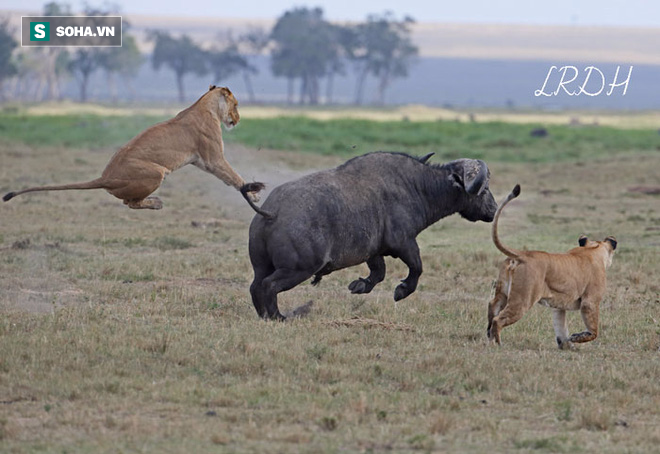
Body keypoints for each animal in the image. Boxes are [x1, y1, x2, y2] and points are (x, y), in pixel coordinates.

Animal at [245, 152, 498, 320]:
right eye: (484, 188)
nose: (494, 209)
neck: (417, 187)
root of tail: (272, 212)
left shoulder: (374, 252)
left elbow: (379, 273)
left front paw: (360, 286)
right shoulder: (405, 243)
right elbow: (417, 268)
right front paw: (401, 291)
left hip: (262, 266)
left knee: (255, 286)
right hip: (298, 269)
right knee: (268, 286)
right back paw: (279, 317)